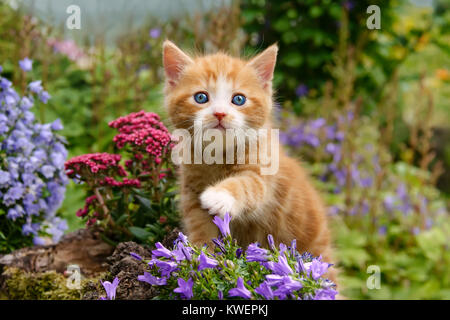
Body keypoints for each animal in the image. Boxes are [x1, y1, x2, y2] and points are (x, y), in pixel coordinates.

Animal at [163, 40, 336, 282]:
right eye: (201, 97)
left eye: (238, 99)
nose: (219, 113)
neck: (218, 156)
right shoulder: (191, 191)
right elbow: (200, 226)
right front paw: (200, 261)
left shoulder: (263, 172)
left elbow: (247, 185)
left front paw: (219, 195)